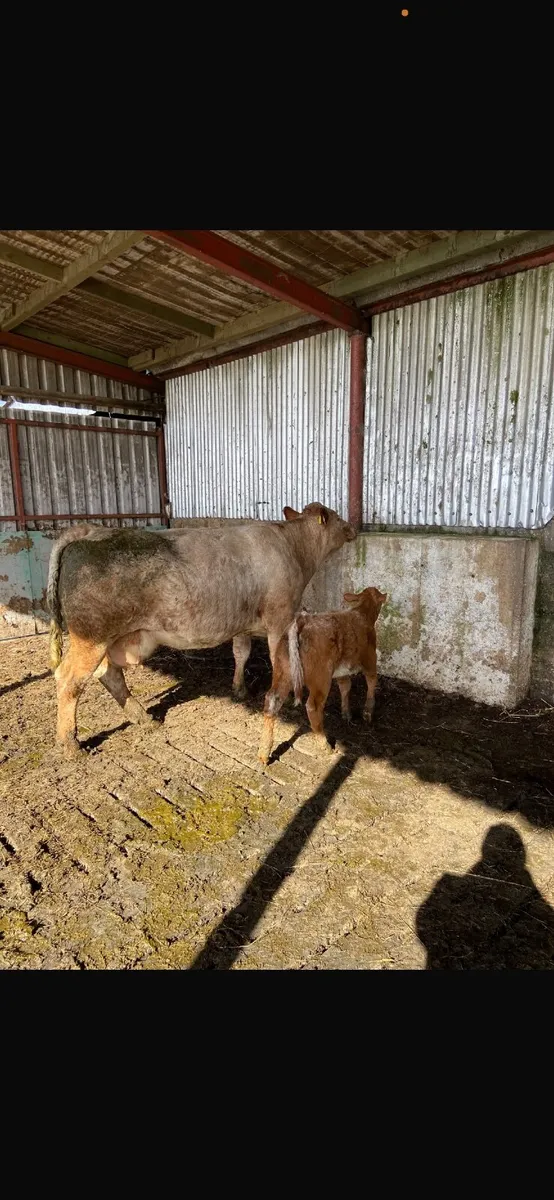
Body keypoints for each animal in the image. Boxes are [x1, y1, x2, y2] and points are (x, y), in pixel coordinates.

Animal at [47, 502, 356, 758]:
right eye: (338, 516)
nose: (353, 527)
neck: (293, 546)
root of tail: (90, 531)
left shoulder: (241, 622)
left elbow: (241, 653)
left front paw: (239, 688)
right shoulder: (280, 620)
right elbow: (278, 662)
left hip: (110, 639)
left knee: (108, 674)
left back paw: (142, 717)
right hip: (92, 637)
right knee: (69, 679)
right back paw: (70, 744)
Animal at [258, 585, 387, 765]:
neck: (362, 613)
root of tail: (301, 622)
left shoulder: (341, 670)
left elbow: (345, 687)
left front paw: (346, 714)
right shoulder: (370, 659)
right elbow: (371, 681)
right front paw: (367, 713)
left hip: (283, 669)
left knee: (272, 700)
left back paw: (263, 752)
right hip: (321, 678)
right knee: (313, 706)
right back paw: (325, 745)